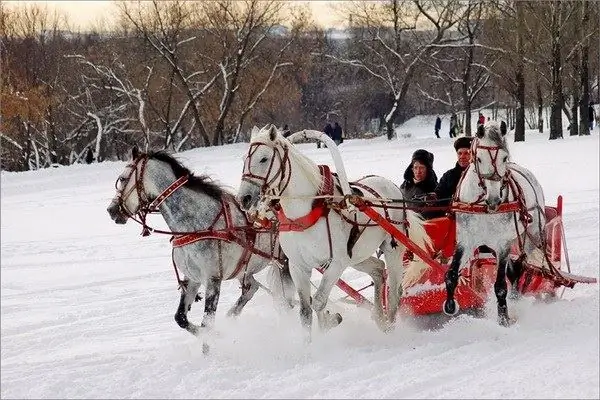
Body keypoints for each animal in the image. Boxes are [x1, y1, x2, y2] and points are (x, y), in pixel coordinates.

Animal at [109, 148, 296, 340]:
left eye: (122, 178)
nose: (111, 210)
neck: (198, 225)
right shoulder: (191, 278)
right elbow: (181, 318)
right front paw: (218, 335)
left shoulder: (212, 279)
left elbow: (207, 324)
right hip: (244, 270)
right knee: (253, 288)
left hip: (284, 263)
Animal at [236, 124, 432, 334]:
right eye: (244, 159)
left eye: (264, 158)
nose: (244, 198)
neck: (304, 214)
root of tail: (392, 187)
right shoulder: (298, 266)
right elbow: (305, 312)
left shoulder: (336, 263)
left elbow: (319, 301)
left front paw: (327, 324)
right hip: (356, 256)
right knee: (378, 269)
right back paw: (380, 317)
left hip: (391, 249)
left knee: (395, 290)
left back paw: (390, 327)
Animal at [446, 121, 548, 324]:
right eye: (478, 158)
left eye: (504, 157)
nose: (494, 199)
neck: (483, 207)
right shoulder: (466, 241)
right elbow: (452, 274)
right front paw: (451, 306)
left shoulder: (502, 243)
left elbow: (500, 285)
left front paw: (504, 318)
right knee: (514, 270)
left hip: (530, 235)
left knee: (523, 268)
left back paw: (516, 298)